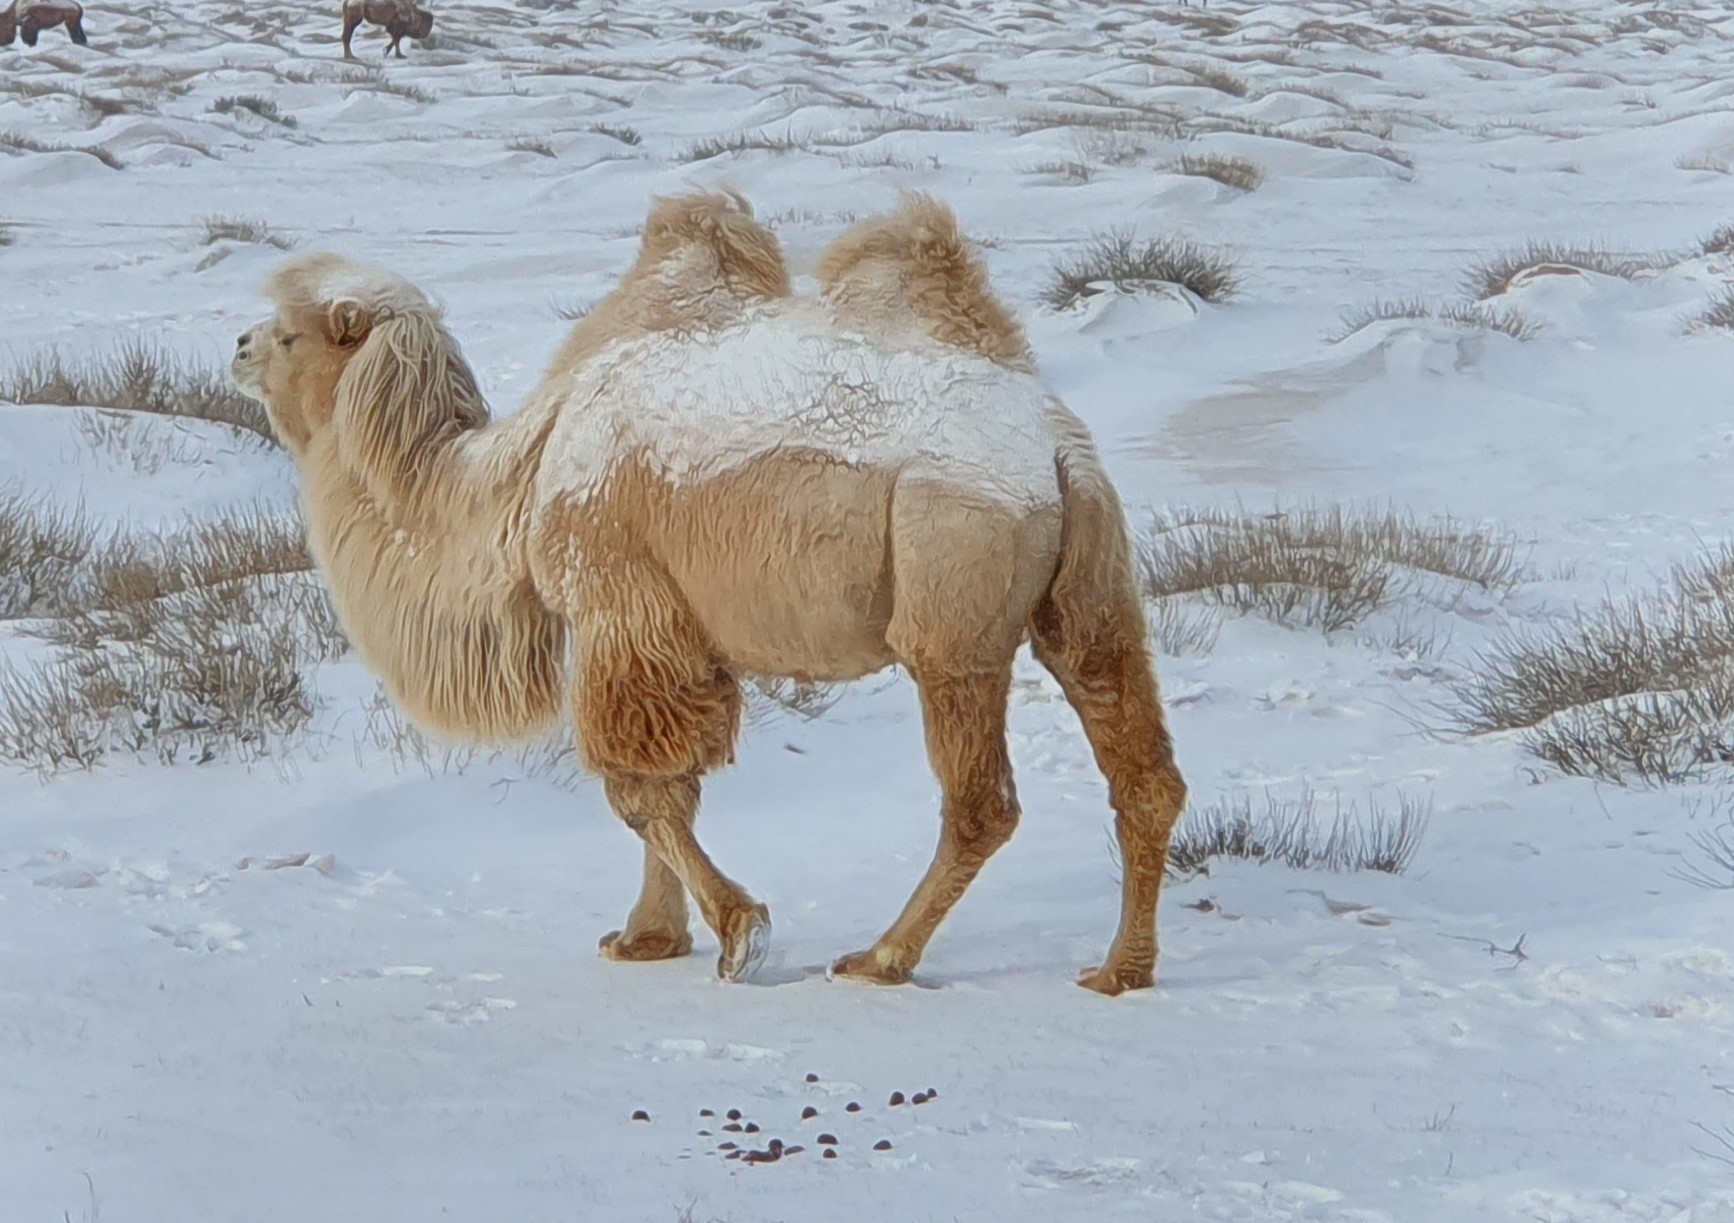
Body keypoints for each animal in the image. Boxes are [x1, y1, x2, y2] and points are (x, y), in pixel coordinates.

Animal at [230, 191, 1189, 996]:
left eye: (290, 334)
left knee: (982, 799)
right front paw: (647, 938)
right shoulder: (674, 629)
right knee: (1139, 763)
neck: (520, 469)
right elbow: (673, 783)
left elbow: (638, 791)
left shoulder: (617, 603)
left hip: (952, 589)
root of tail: (1057, 449)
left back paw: (882, 957)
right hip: (1091, 590)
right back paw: (1121, 969)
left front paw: (737, 931)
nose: (236, 347)